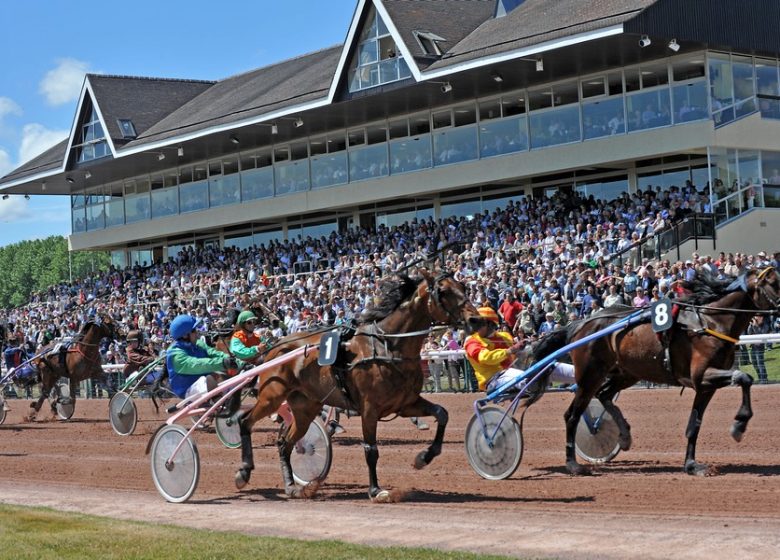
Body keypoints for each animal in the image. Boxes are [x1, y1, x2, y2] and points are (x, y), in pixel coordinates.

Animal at [230, 270, 482, 500]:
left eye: (463, 286)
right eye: (443, 291)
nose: (476, 320)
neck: (388, 346)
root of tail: (275, 347)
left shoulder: (406, 404)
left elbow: (442, 413)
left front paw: (424, 457)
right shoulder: (369, 409)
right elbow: (371, 450)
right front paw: (376, 490)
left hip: (305, 407)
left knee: (285, 443)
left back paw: (292, 486)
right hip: (271, 396)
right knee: (245, 421)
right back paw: (243, 471)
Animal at [532, 266, 780, 476]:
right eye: (774, 282)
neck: (710, 322)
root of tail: (581, 325)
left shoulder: (705, 386)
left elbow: (694, 426)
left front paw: (692, 465)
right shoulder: (702, 375)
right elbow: (744, 377)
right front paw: (739, 424)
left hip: (627, 373)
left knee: (604, 395)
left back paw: (624, 436)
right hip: (589, 376)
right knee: (572, 415)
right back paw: (573, 465)